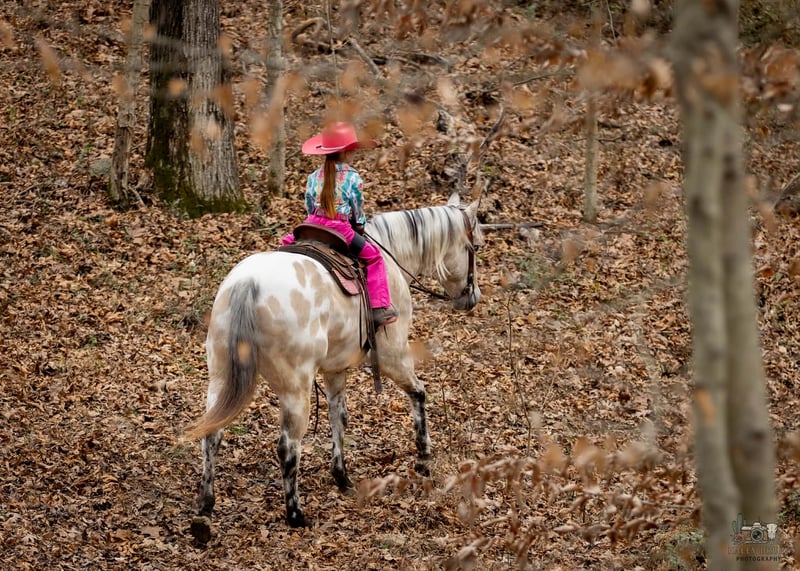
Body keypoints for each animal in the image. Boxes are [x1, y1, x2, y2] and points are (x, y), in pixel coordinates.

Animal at [186, 192, 483, 541]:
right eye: (475, 247)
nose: (472, 298)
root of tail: (248, 285)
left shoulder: (335, 369)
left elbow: (337, 417)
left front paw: (341, 476)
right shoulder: (394, 355)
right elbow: (418, 393)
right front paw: (424, 459)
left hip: (220, 377)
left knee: (212, 433)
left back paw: (206, 503)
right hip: (295, 388)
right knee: (288, 447)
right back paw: (296, 515)